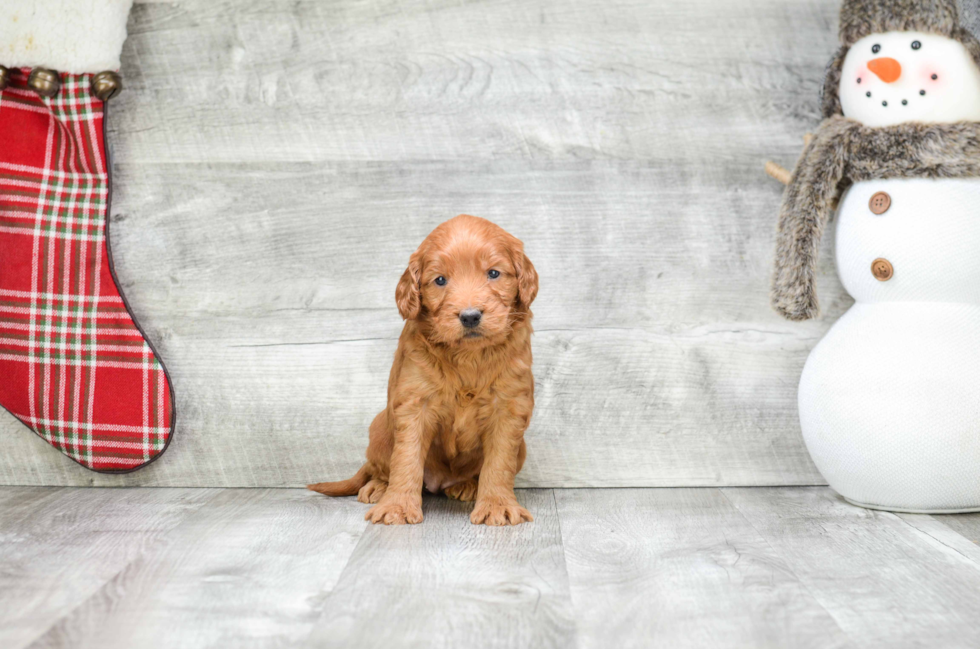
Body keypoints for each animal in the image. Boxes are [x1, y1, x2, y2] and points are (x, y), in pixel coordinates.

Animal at [308, 215, 540, 524]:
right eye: (440, 280)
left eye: (493, 273)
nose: (470, 316)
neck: (468, 356)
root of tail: (441, 482)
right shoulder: (414, 403)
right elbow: (406, 458)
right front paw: (397, 506)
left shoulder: (509, 407)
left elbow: (499, 462)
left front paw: (496, 506)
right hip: (379, 428)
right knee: (379, 468)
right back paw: (378, 487)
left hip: (522, 448)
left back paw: (468, 486)